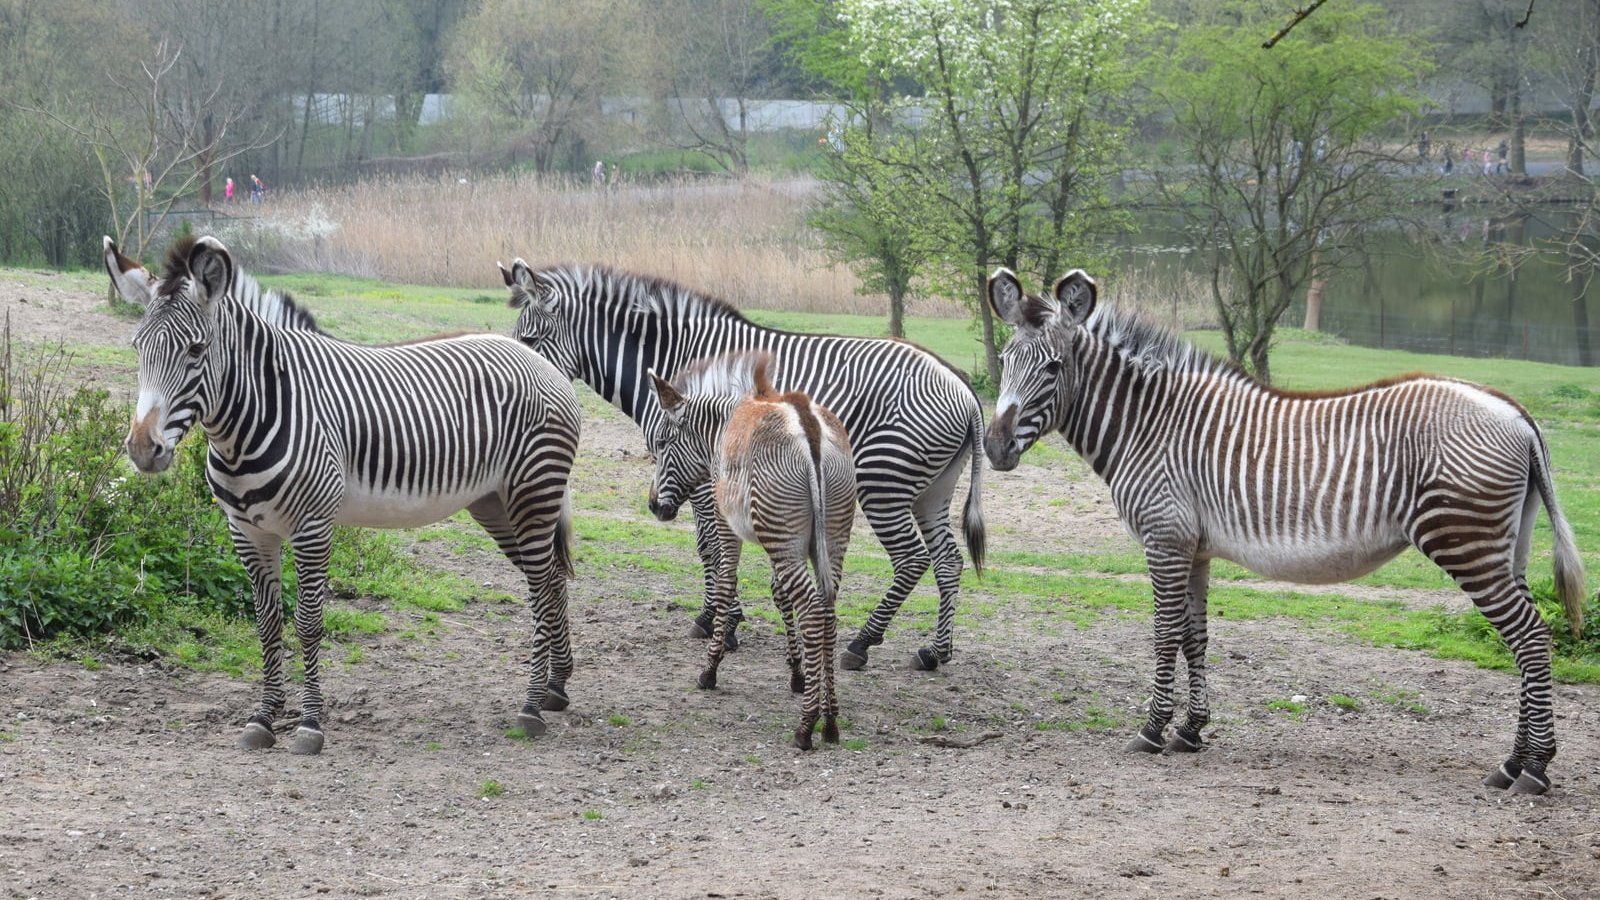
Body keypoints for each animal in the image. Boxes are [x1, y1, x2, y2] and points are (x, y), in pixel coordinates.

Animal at [106, 232, 582, 749]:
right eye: (137, 348)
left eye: (195, 350)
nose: (142, 449)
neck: (255, 416)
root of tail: (536, 357)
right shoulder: (247, 532)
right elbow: (267, 623)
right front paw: (264, 716)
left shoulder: (313, 527)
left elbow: (308, 622)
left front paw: (310, 724)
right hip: (495, 504)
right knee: (551, 578)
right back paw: (555, 688)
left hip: (534, 490)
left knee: (541, 587)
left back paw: (531, 707)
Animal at [492, 259, 979, 666]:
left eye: (530, 340)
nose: (518, 381)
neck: (672, 360)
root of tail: (963, 387)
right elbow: (710, 543)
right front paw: (722, 616)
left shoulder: (702, 469)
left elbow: (710, 545)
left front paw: (719, 623)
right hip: (932, 490)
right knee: (949, 559)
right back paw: (936, 651)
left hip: (884, 480)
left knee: (913, 558)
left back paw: (862, 643)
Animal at [643, 350, 857, 749]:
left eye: (662, 444)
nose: (654, 506)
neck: (721, 427)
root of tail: (808, 424)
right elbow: (779, 595)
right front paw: (797, 673)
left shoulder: (725, 521)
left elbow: (725, 584)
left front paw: (710, 669)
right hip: (827, 537)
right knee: (827, 613)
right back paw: (831, 721)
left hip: (783, 535)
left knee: (812, 612)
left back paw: (806, 727)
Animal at [985, 265, 1587, 791]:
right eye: (1006, 361)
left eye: (1054, 368)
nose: (993, 448)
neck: (1148, 424)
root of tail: (1515, 412)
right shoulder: (1194, 547)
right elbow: (1194, 637)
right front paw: (1190, 730)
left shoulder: (1164, 539)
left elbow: (1163, 635)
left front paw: (1152, 730)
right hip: (1506, 545)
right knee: (1527, 639)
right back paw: (1515, 762)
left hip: (1466, 543)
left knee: (1530, 637)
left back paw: (1533, 768)